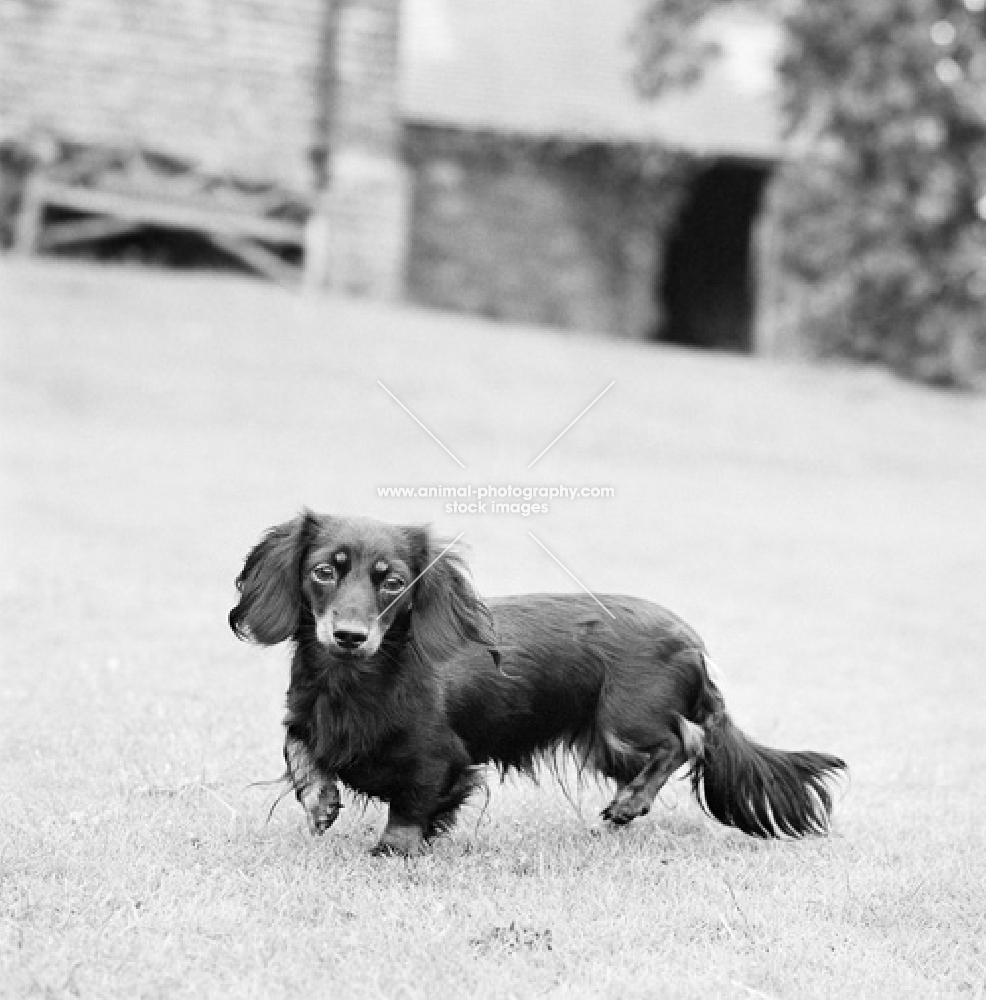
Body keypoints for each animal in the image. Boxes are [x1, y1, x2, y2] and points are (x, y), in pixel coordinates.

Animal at [231, 516, 844, 852]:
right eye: (323, 571)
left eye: (394, 583)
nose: (350, 636)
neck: (357, 680)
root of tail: (692, 640)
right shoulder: (304, 719)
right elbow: (300, 753)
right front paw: (321, 803)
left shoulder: (441, 760)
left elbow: (410, 810)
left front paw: (392, 849)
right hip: (605, 744)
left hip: (623, 724)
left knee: (685, 741)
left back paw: (629, 804)